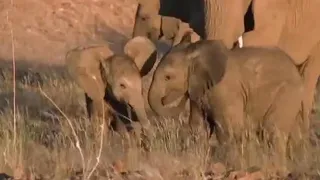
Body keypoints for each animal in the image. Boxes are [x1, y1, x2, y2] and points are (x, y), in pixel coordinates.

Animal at [148, 32, 308, 166]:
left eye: (168, 77)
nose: (165, 99)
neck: (197, 53)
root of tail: (297, 72)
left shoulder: (226, 92)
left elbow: (227, 129)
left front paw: (229, 164)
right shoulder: (199, 91)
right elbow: (199, 126)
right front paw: (198, 159)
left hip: (287, 94)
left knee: (272, 132)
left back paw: (275, 167)